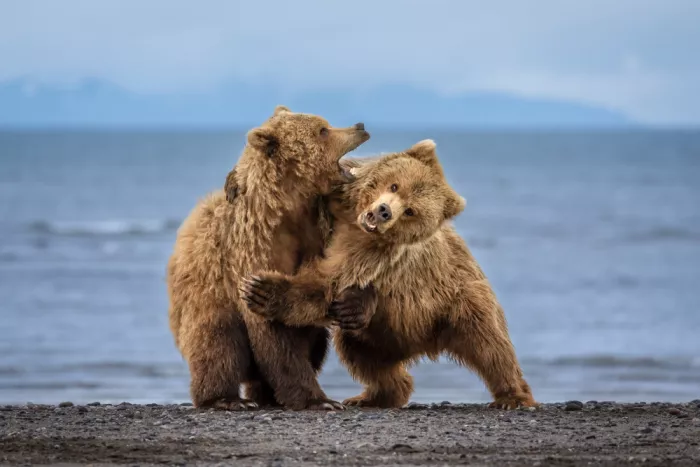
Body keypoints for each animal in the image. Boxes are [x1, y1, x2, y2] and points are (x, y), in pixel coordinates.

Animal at [167, 105, 370, 410]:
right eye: (323, 130)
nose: (360, 126)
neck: (292, 208)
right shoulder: (255, 246)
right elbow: (272, 331)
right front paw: (317, 399)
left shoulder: (321, 232)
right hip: (206, 293)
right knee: (217, 341)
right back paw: (226, 398)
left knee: (315, 341)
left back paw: (264, 393)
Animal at [239, 139, 538, 410]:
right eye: (395, 185)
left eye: (410, 211)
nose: (383, 211)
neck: (352, 218)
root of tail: (426, 342)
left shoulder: (369, 252)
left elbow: (328, 282)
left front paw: (261, 290)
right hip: (382, 330)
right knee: (364, 356)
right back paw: (373, 396)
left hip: (458, 299)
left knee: (491, 347)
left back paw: (513, 396)